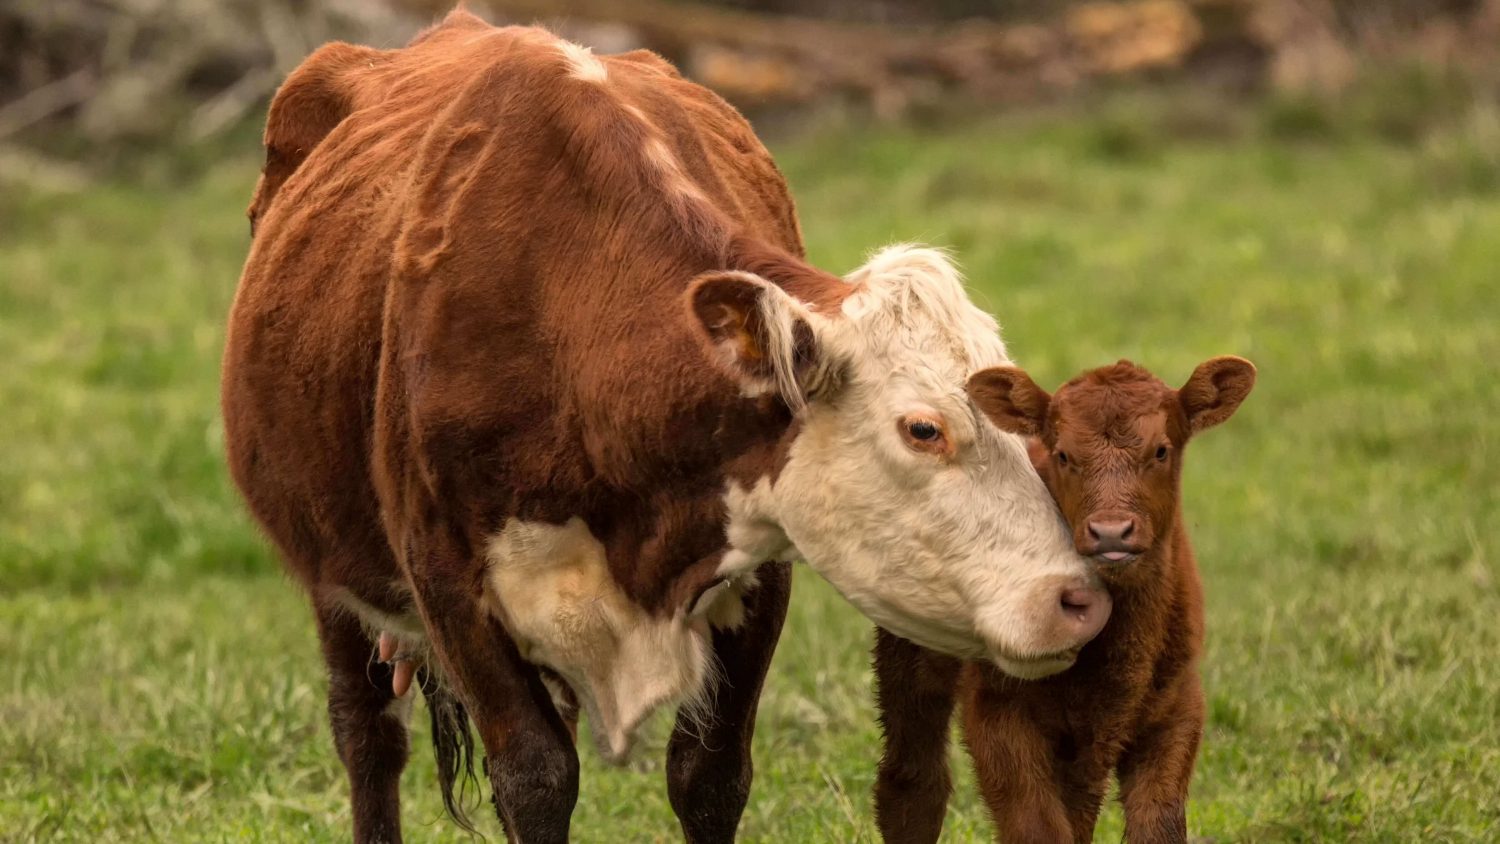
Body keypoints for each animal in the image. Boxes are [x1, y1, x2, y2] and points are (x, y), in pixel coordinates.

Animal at [225, 8, 1116, 844]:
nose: (1079, 599)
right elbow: (535, 778)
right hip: (333, 574)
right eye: (923, 429)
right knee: (367, 734)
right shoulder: (447, 581)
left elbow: (708, 776)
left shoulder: (759, 568)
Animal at [870, 358, 1254, 844]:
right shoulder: (998, 709)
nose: (1111, 532)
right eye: (1064, 455)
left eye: (1161, 451)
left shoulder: (1177, 706)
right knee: (913, 782)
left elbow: (1157, 825)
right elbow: (1037, 827)